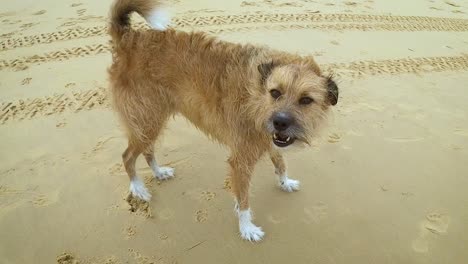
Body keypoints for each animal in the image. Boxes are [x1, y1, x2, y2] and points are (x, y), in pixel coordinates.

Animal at [108, 0, 338, 241]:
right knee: (127, 156)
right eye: (275, 92)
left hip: (151, 121)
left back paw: (159, 172)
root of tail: (128, 38)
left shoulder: (270, 139)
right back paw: (138, 188)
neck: (256, 95)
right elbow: (244, 198)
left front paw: (285, 182)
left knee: (146, 150)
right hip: (147, 119)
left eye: (306, 100)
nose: (280, 122)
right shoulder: (241, 160)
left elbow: (279, 161)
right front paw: (246, 228)